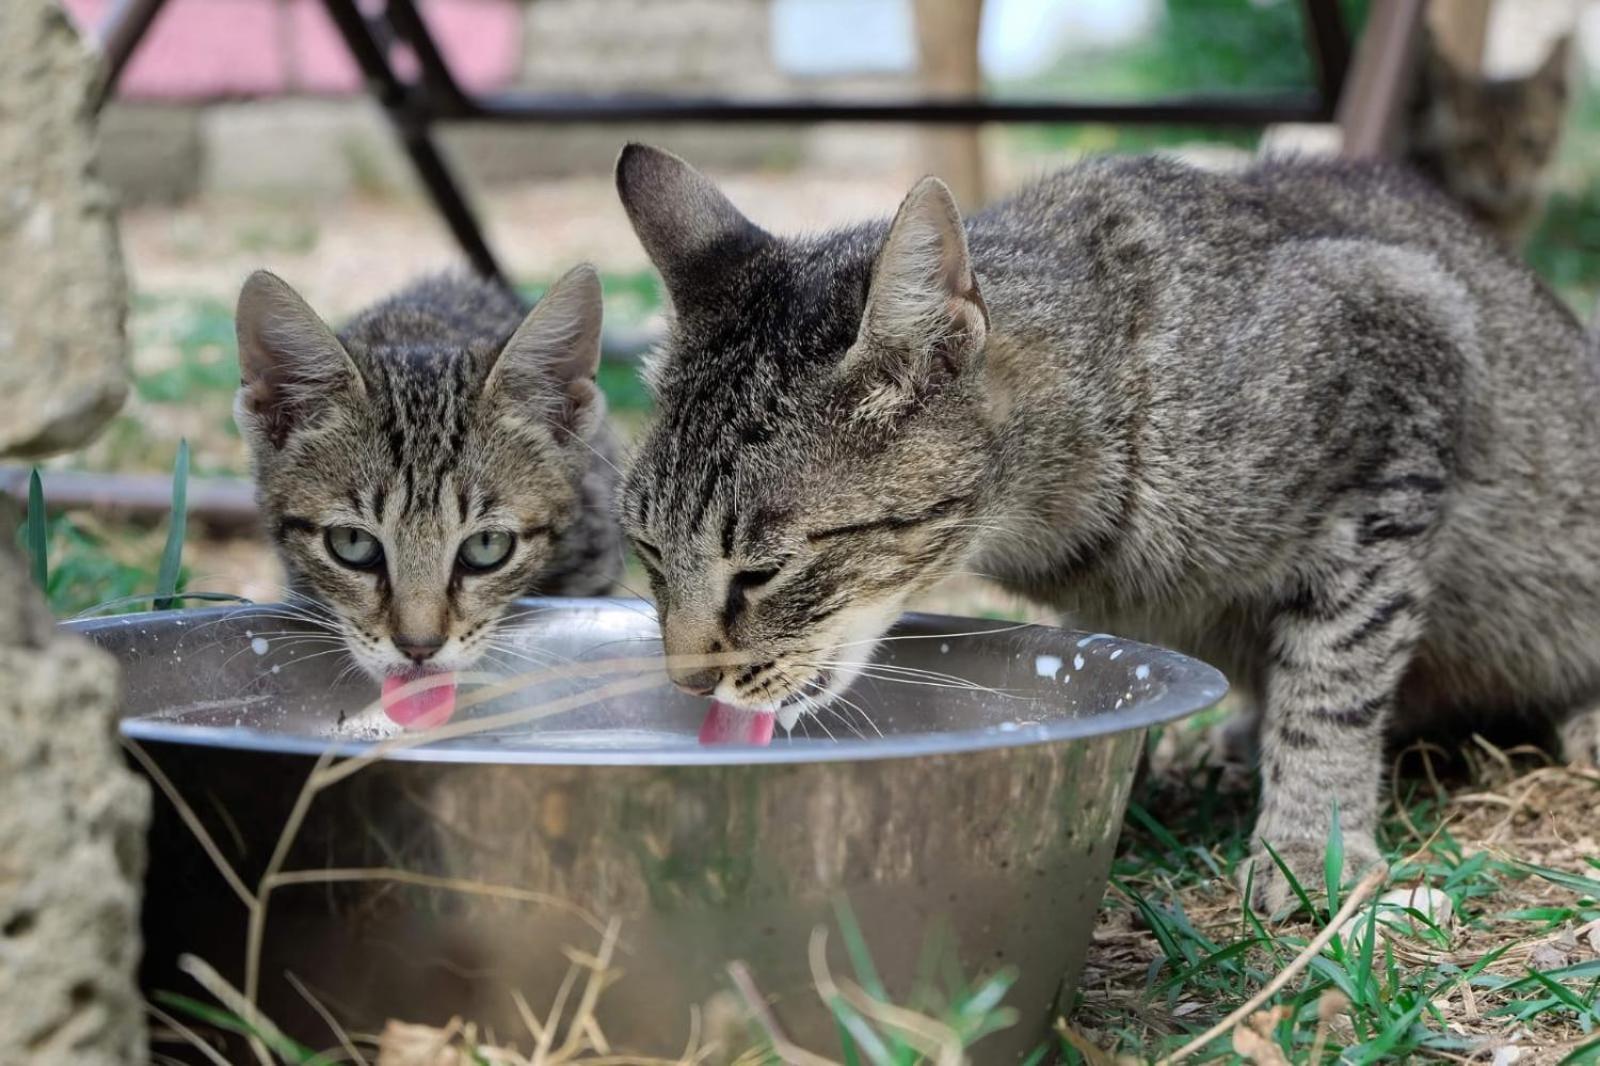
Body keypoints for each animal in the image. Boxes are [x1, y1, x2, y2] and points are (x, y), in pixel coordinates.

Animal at [608, 139, 1600, 902]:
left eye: (762, 570)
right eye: (648, 549)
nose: (687, 681)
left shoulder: (1406, 387)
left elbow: (1336, 679)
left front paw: (1309, 838)